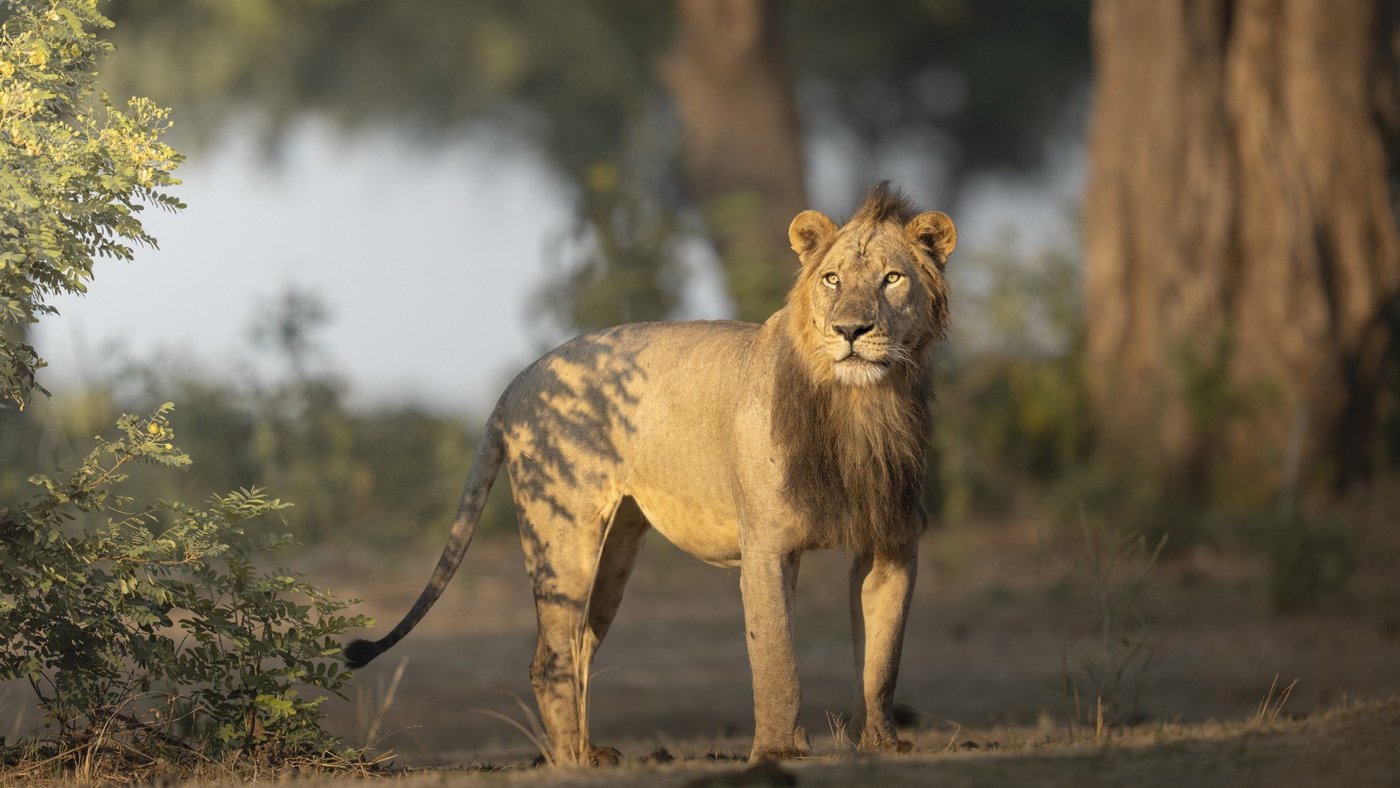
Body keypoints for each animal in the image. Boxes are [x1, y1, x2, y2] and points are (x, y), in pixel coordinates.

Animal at [344, 182, 956, 765]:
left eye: (892, 279)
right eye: (832, 279)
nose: (851, 330)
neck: (861, 407)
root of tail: (522, 376)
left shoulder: (892, 546)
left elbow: (881, 660)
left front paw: (882, 744)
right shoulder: (766, 547)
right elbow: (776, 657)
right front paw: (778, 751)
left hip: (615, 550)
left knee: (580, 648)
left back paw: (590, 750)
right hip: (563, 537)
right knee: (551, 656)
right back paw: (574, 761)